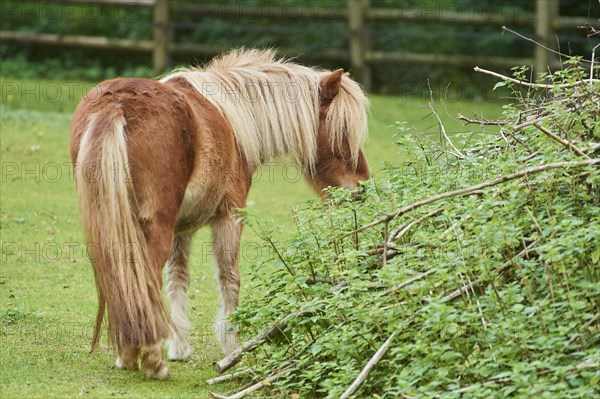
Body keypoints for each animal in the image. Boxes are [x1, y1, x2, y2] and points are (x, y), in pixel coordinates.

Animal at [71, 48, 370, 380]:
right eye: (343, 130)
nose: (361, 188)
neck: (234, 121)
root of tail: (117, 104)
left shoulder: (182, 228)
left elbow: (178, 278)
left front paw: (180, 346)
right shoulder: (230, 216)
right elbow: (230, 278)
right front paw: (232, 349)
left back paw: (128, 355)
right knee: (143, 281)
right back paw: (151, 360)